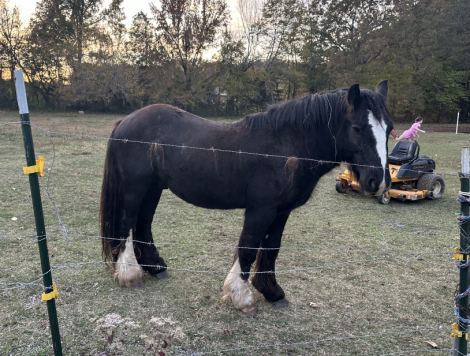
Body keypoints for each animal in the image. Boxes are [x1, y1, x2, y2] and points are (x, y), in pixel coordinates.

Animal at [100, 80, 392, 314]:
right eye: (357, 128)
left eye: (388, 129)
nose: (378, 182)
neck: (286, 147)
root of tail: (125, 121)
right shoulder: (260, 210)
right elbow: (249, 248)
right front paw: (241, 297)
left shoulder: (281, 211)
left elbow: (271, 248)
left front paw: (272, 291)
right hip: (135, 188)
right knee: (127, 223)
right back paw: (129, 274)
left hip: (153, 188)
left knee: (143, 224)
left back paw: (156, 268)